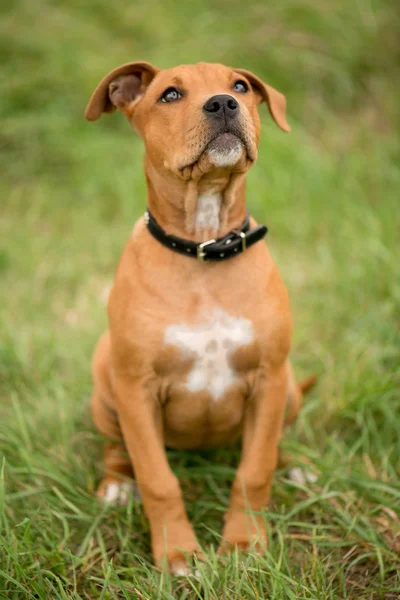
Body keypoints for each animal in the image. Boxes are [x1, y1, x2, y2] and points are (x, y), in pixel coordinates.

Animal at [85, 62, 316, 576]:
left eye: (240, 87)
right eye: (170, 95)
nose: (223, 103)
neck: (204, 246)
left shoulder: (269, 377)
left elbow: (254, 469)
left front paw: (245, 544)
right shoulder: (137, 390)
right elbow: (158, 479)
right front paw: (177, 554)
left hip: (288, 386)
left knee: (274, 441)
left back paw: (295, 464)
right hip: (105, 383)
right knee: (117, 450)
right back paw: (117, 485)